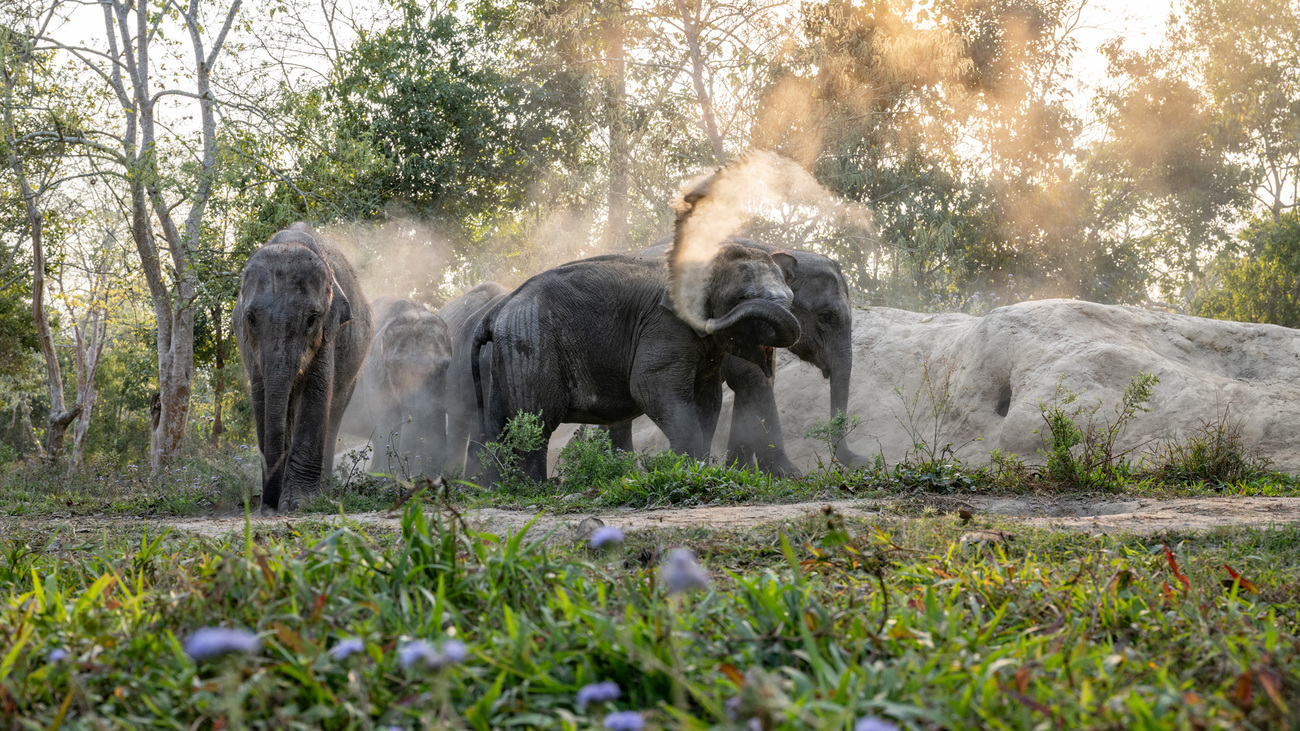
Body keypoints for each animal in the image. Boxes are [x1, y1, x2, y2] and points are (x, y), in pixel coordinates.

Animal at [233, 222, 371, 512]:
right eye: (250, 318)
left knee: (334, 411)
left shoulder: (328, 333)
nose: (267, 506)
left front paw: (299, 504)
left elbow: (315, 392)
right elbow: (262, 398)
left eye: (311, 319)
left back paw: (325, 492)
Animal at [616, 232, 863, 473]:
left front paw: (742, 471)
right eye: (827, 316)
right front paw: (789, 474)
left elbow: (758, 383)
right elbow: (753, 380)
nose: (863, 461)